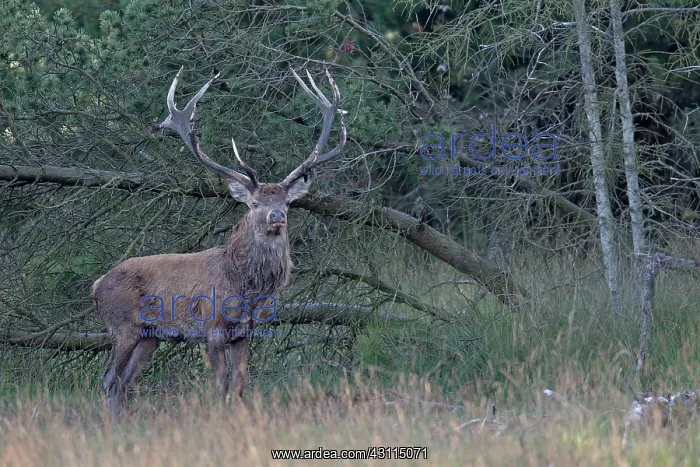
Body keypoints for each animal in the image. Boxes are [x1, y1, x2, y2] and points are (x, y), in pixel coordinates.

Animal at [92, 66, 346, 421]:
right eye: (254, 203)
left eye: (287, 201)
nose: (277, 215)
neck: (246, 288)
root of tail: (96, 285)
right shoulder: (211, 326)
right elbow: (221, 382)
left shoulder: (245, 331)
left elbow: (239, 383)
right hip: (122, 326)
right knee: (108, 379)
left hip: (150, 336)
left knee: (124, 382)